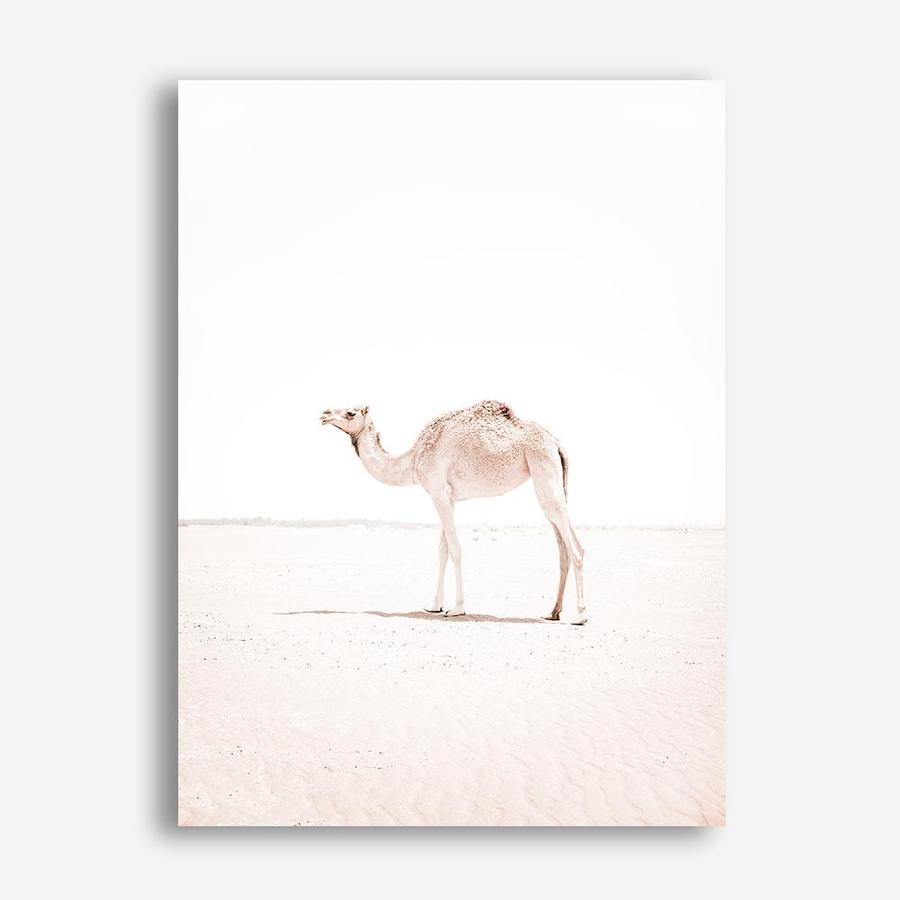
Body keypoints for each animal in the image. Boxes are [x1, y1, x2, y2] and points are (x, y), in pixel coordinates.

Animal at [320, 400, 587, 624]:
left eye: (350, 412)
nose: (324, 414)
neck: (413, 459)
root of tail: (557, 443)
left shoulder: (438, 492)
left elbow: (456, 549)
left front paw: (457, 608)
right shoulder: (448, 497)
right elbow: (443, 550)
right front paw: (434, 605)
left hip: (542, 467)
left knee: (574, 548)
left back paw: (581, 615)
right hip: (551, 478)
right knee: (563, 545)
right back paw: (553, 612)